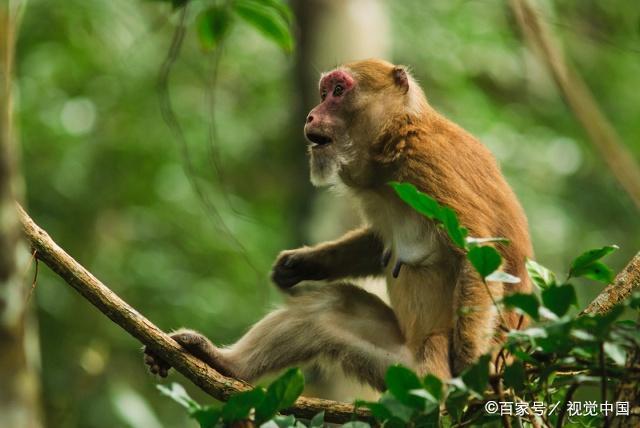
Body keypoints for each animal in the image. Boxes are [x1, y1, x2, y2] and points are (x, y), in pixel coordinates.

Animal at [142, 58, 532, 390]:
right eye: (323, 92)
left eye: (339, 91)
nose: (311, 115)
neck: (395, 142)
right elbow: (376, 246)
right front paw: (302, 263)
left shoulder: (431, 167)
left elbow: (479, 251)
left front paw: (471, 365)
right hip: (395, 366)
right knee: (326, 309)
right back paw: (224, 363)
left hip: (432, 365)